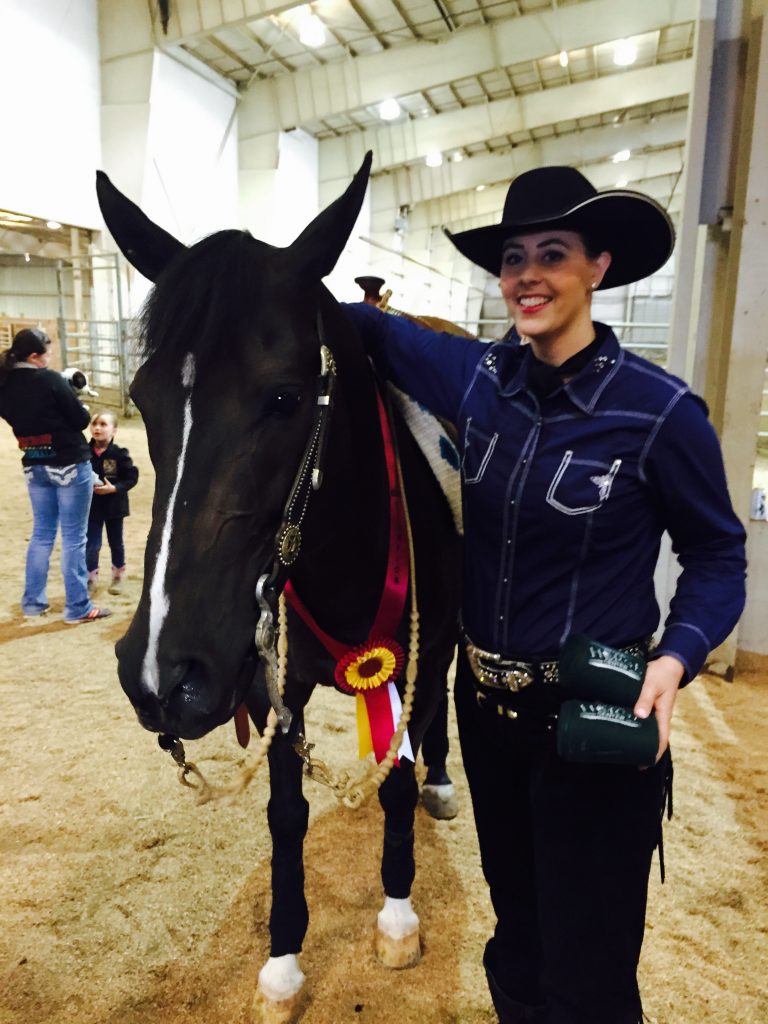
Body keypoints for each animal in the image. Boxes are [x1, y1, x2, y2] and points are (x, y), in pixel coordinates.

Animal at [96, 153, 462, 1024]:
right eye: (143, 398)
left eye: (286, 397)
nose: (162, 675)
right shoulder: (276, 682)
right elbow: (285, 815)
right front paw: (283, 962)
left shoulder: (409, 663)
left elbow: (396, 780)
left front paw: (397, 919)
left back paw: (441, 783)